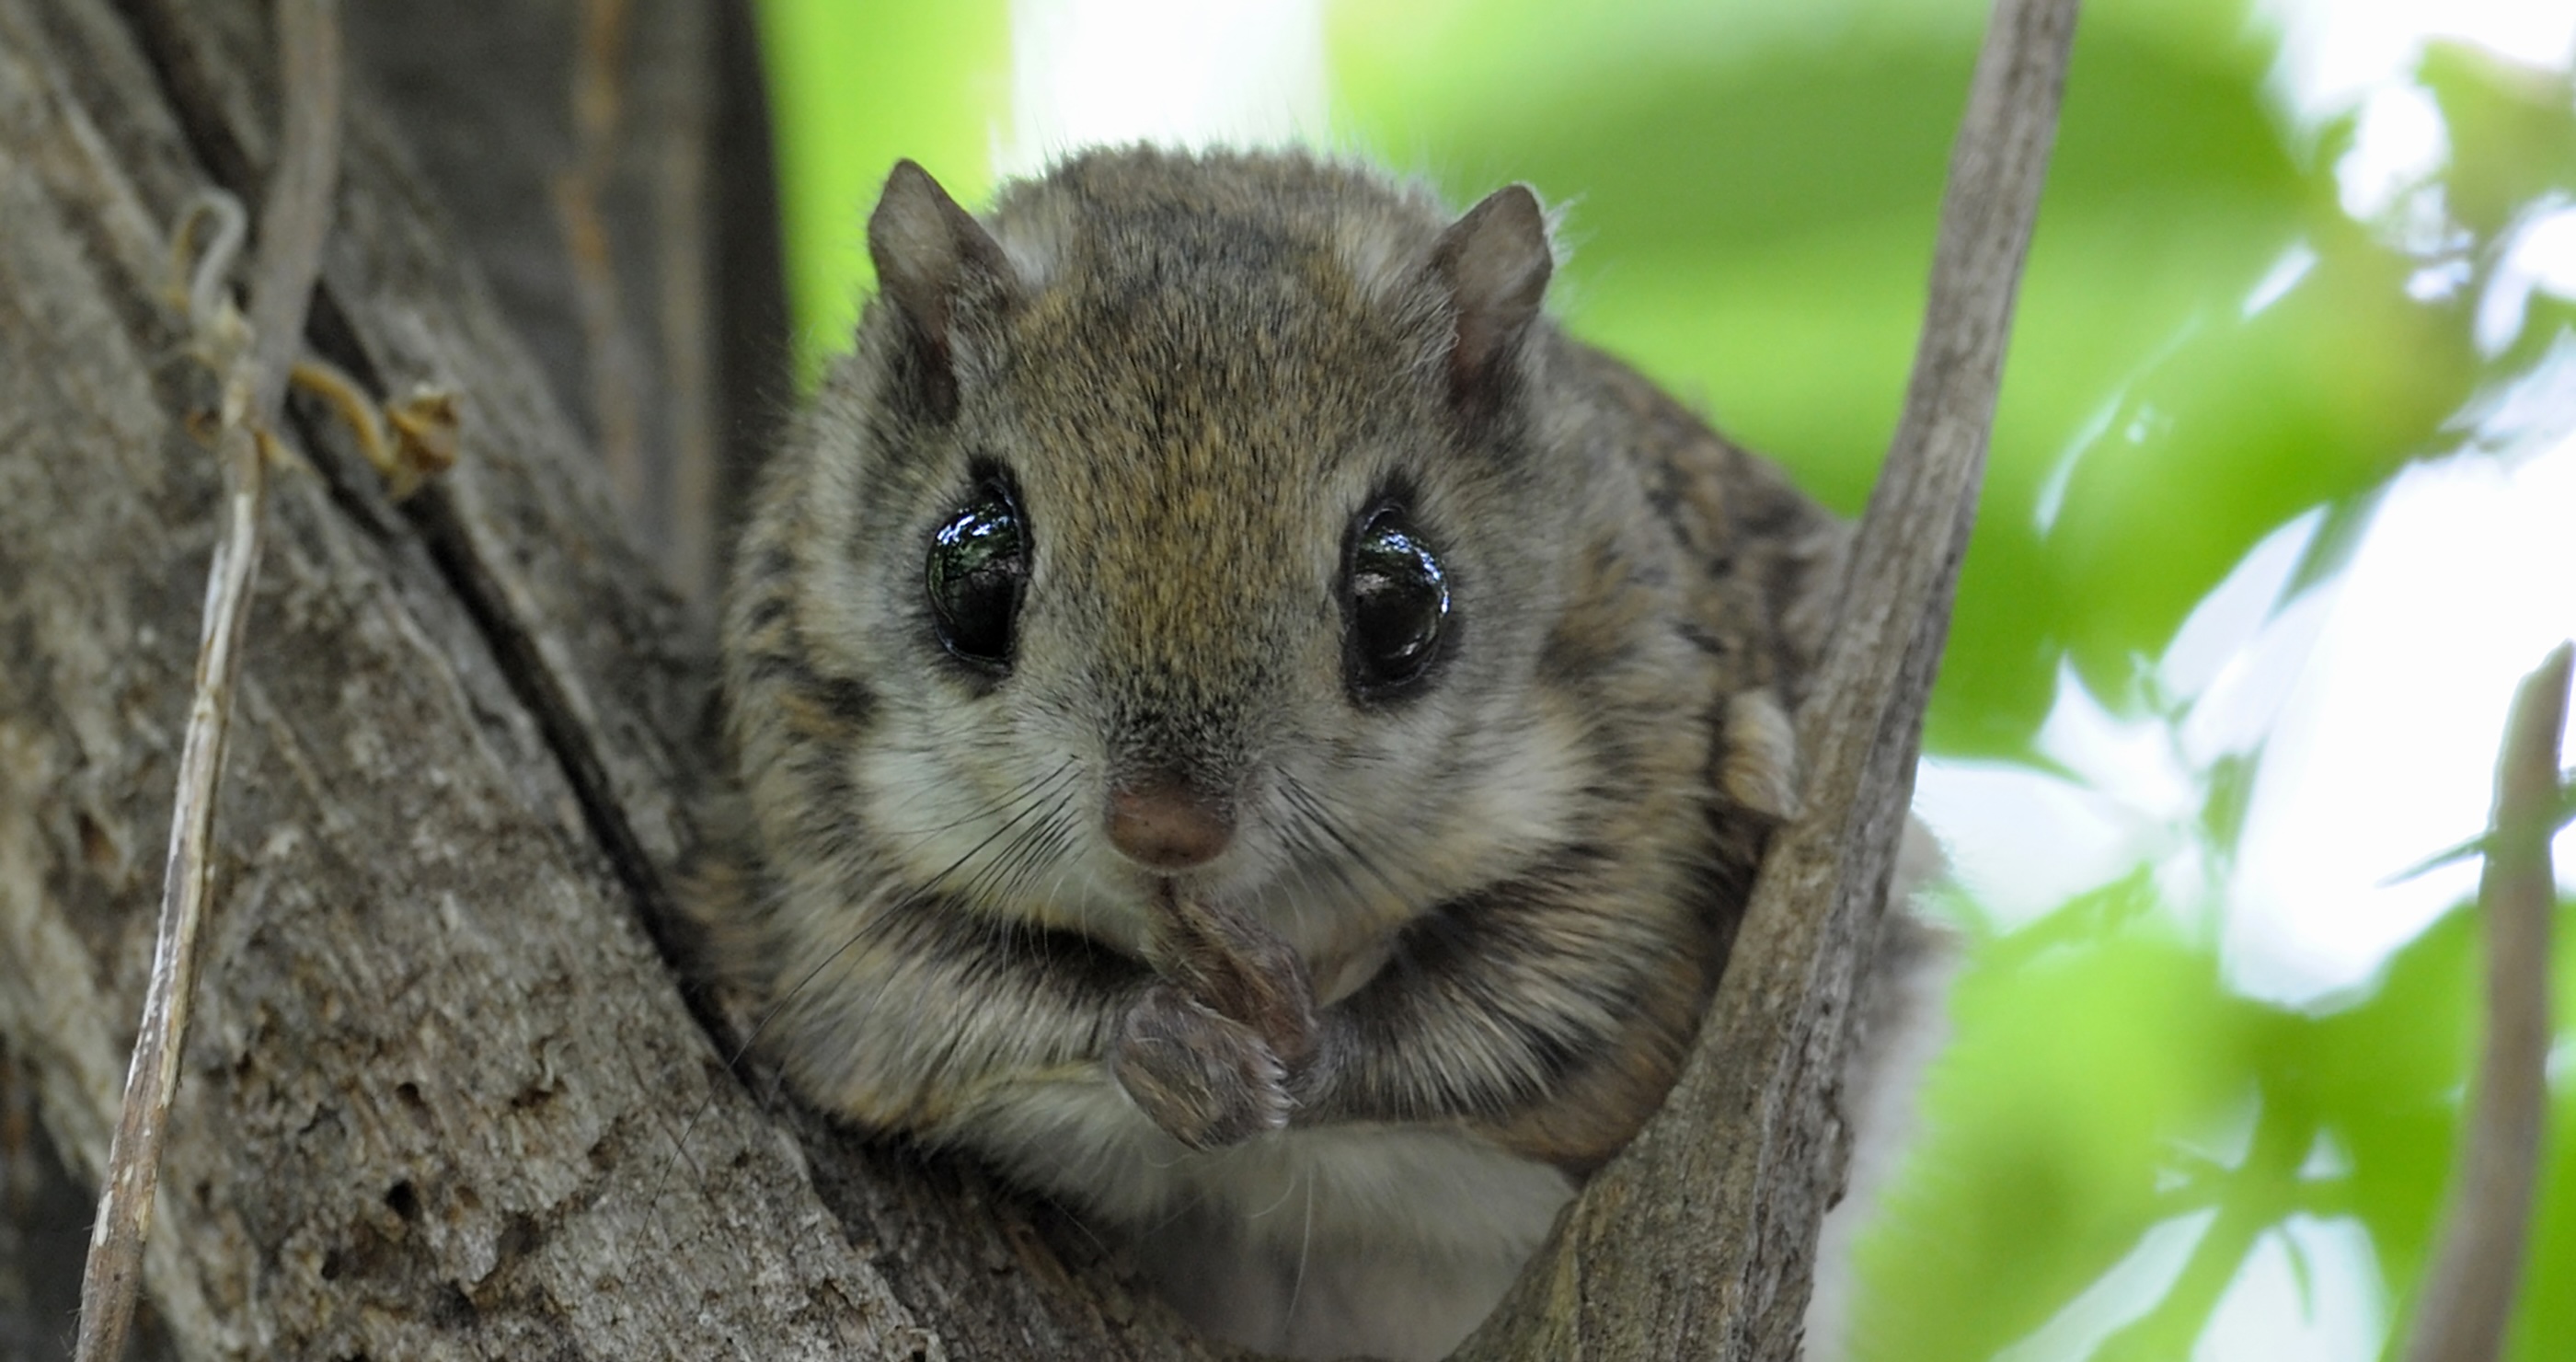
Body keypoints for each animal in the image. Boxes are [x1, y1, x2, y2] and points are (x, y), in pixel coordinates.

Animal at [694, 146, 1868, 1360]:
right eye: (968, 567)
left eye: (1400, 596)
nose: (1163, 828)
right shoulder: (808, 844)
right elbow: (918, 995)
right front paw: (1159, 1036)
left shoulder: (1639, 778)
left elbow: (1542, 988)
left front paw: (1309, 1049)